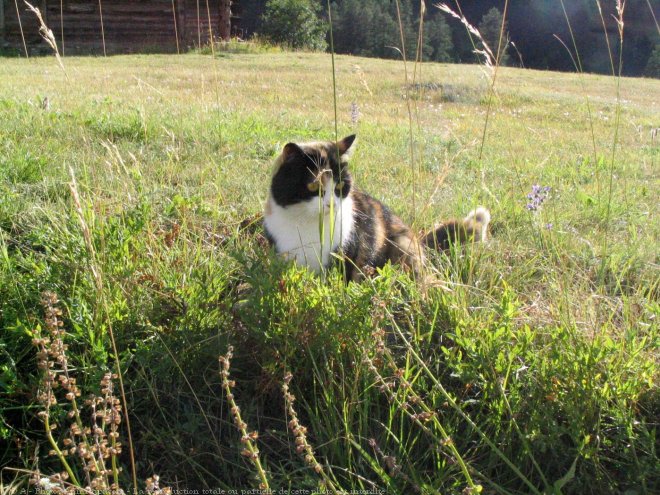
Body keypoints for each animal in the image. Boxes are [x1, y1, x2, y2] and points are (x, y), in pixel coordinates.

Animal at [262, 136, 490, 282]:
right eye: (313, 186)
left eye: (340, 186)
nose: (331, 204)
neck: (306, 224)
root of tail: (419, 241)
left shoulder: (348, 254)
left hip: (402, 247)